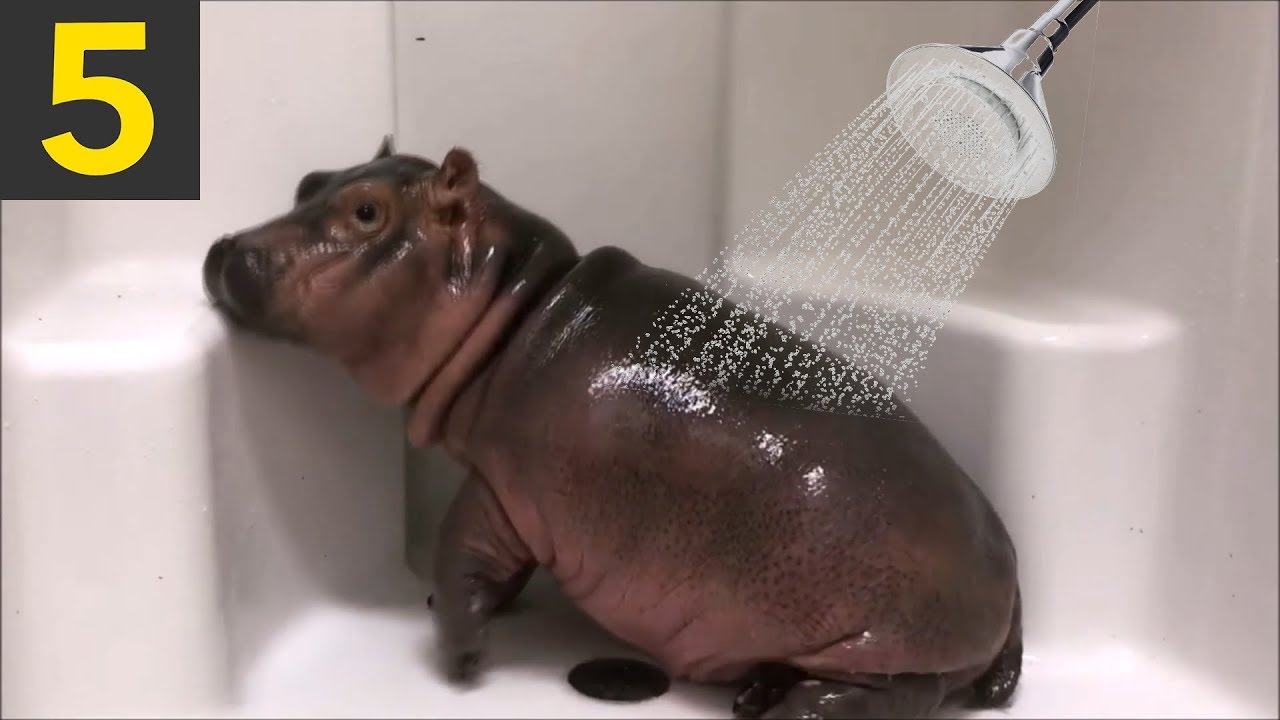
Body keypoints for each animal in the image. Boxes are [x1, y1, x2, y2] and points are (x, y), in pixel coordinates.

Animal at [201, 137, 1022, 719]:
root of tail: (1007, 564)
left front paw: (461, 660)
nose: (220, 247)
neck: (517, 303)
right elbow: (494, 574)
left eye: (367, 212)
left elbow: (460, 561)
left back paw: (799, 708)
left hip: (889, 641)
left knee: (902, 693)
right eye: (309, 180)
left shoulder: (503, 486)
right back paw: (758, 693)